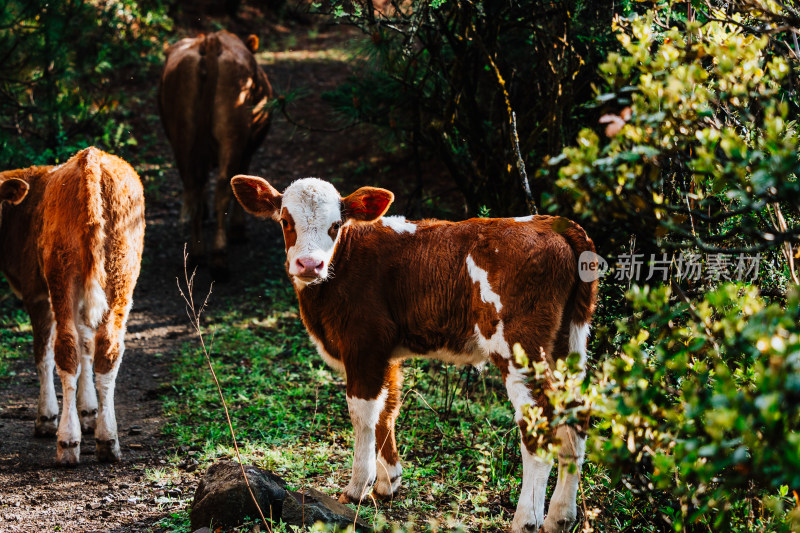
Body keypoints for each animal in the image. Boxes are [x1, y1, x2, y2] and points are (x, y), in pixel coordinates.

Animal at [0, 148, 145, 464]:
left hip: (59, 273)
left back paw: (67, 441)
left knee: (64, 349)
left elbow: (43, 353)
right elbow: (87, 345)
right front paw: (89, 411)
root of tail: (91, 158)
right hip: (120, 272)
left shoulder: (35, 293)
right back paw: (107, 439)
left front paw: (47, 417)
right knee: (106, 348)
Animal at [158, 30, 274, 278]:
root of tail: (210, 41)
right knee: (222, 188)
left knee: (193, 186)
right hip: (232, 137)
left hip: (183, 140)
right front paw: (238, 230)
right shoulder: (246, 149)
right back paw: (219, 258)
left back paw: (196, 253)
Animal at [228, 176, 596, 532]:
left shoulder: (363, 342)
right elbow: (387, 409)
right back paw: (561, 516)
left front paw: (358, 487)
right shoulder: (386, 351)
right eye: (286, 221)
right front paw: (388, 482)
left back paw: (527, 520)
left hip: (519, 346)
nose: (309, 264)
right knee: (576, 418)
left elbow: (363, 414)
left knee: (539, 425)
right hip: (568, 342)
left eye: (335, 225)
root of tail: (553, 224)